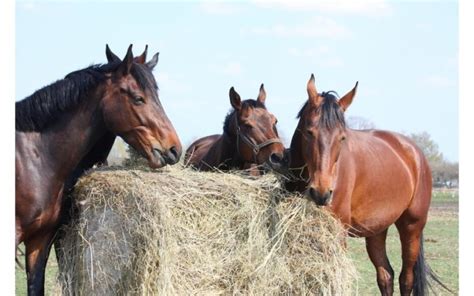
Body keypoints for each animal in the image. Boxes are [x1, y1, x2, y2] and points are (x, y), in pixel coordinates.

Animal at [286, 73, 448, 294]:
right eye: (309, 132)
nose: (321, 192)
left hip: (412, 226)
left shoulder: (338, 233)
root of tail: (414, 152)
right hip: (377, 229)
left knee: (406, 278)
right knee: (386, 276)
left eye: (342, 137)